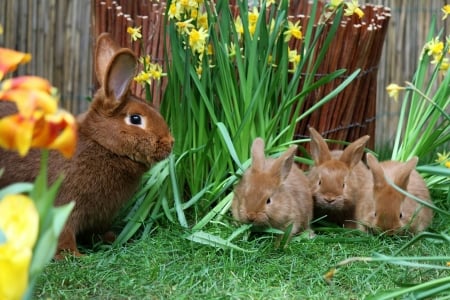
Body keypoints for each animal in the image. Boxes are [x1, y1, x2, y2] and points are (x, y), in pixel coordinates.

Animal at [0, 33, 174, 258]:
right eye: (135, 119)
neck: (103, 145)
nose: (170, 144)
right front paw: (72, 255)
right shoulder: (64, 204)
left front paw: (110, 239)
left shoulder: (100, 216)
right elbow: (62, 233)